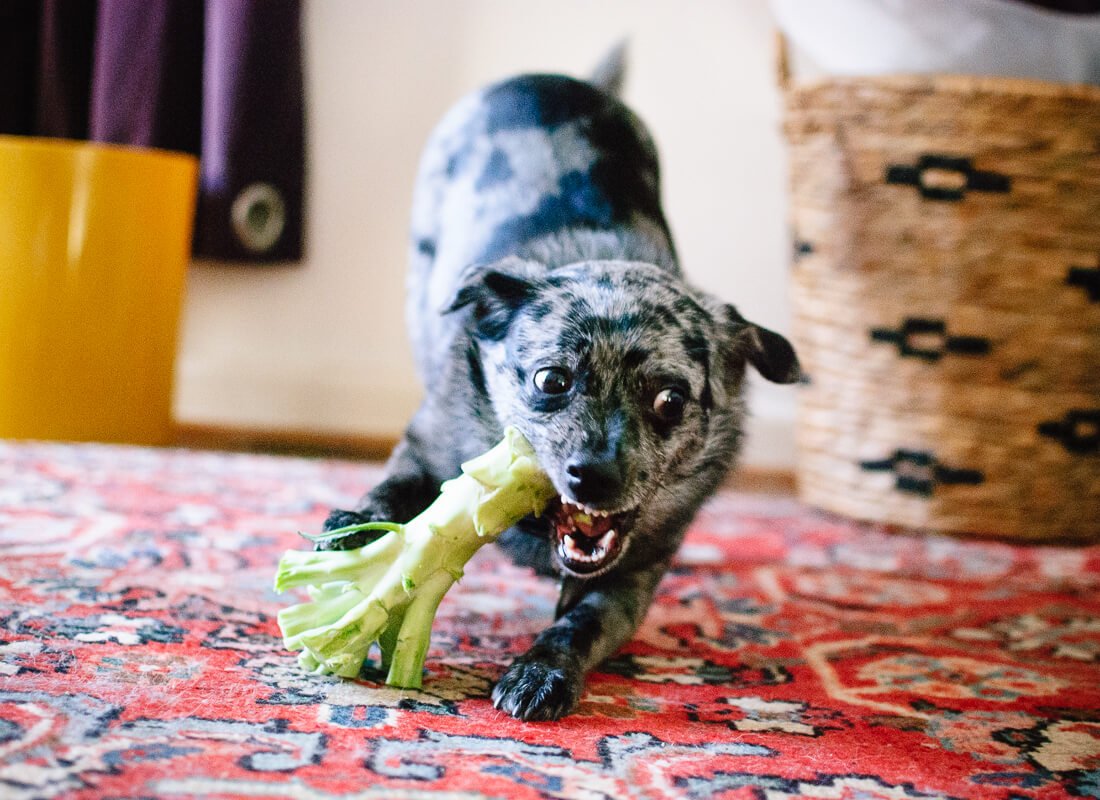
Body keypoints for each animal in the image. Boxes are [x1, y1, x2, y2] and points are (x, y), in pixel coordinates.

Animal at [319, 50, 800, 721]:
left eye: (671, 400)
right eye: (552, 379)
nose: (592, 477)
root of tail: (554, 79)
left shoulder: (630, 578)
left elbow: (581, 624)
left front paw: (540, 671)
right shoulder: (429, 446)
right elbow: (393, 490)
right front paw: (356, 526)